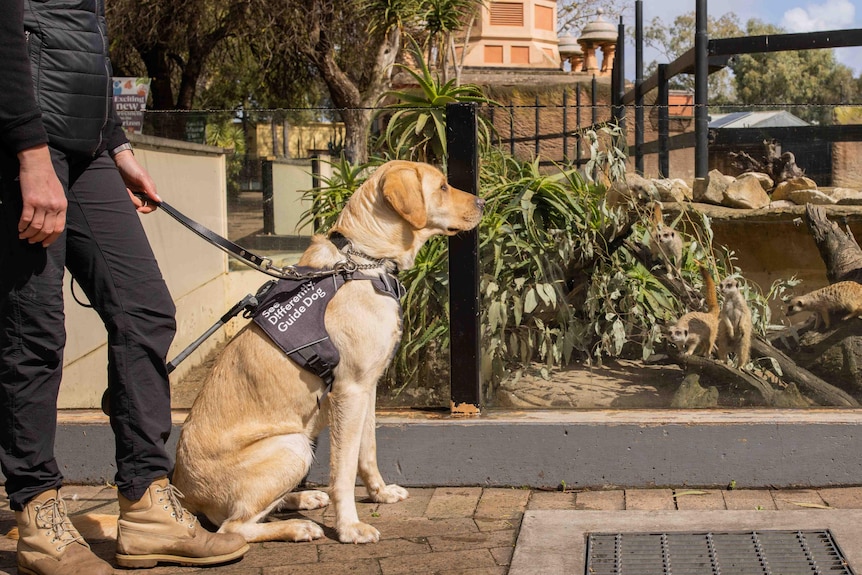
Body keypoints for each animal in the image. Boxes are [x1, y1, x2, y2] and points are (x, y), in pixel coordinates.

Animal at [171, 161, 486, 544]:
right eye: (442, 187)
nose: (483, 202)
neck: (364, 261)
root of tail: (184, 492)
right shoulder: (349, 391)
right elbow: (343, 472)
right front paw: (350, 528)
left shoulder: (367, 388)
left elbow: (367, 451)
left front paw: (380, 493)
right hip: (292, 446)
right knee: (234, 527)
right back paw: (298, 526)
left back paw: (302, 498)